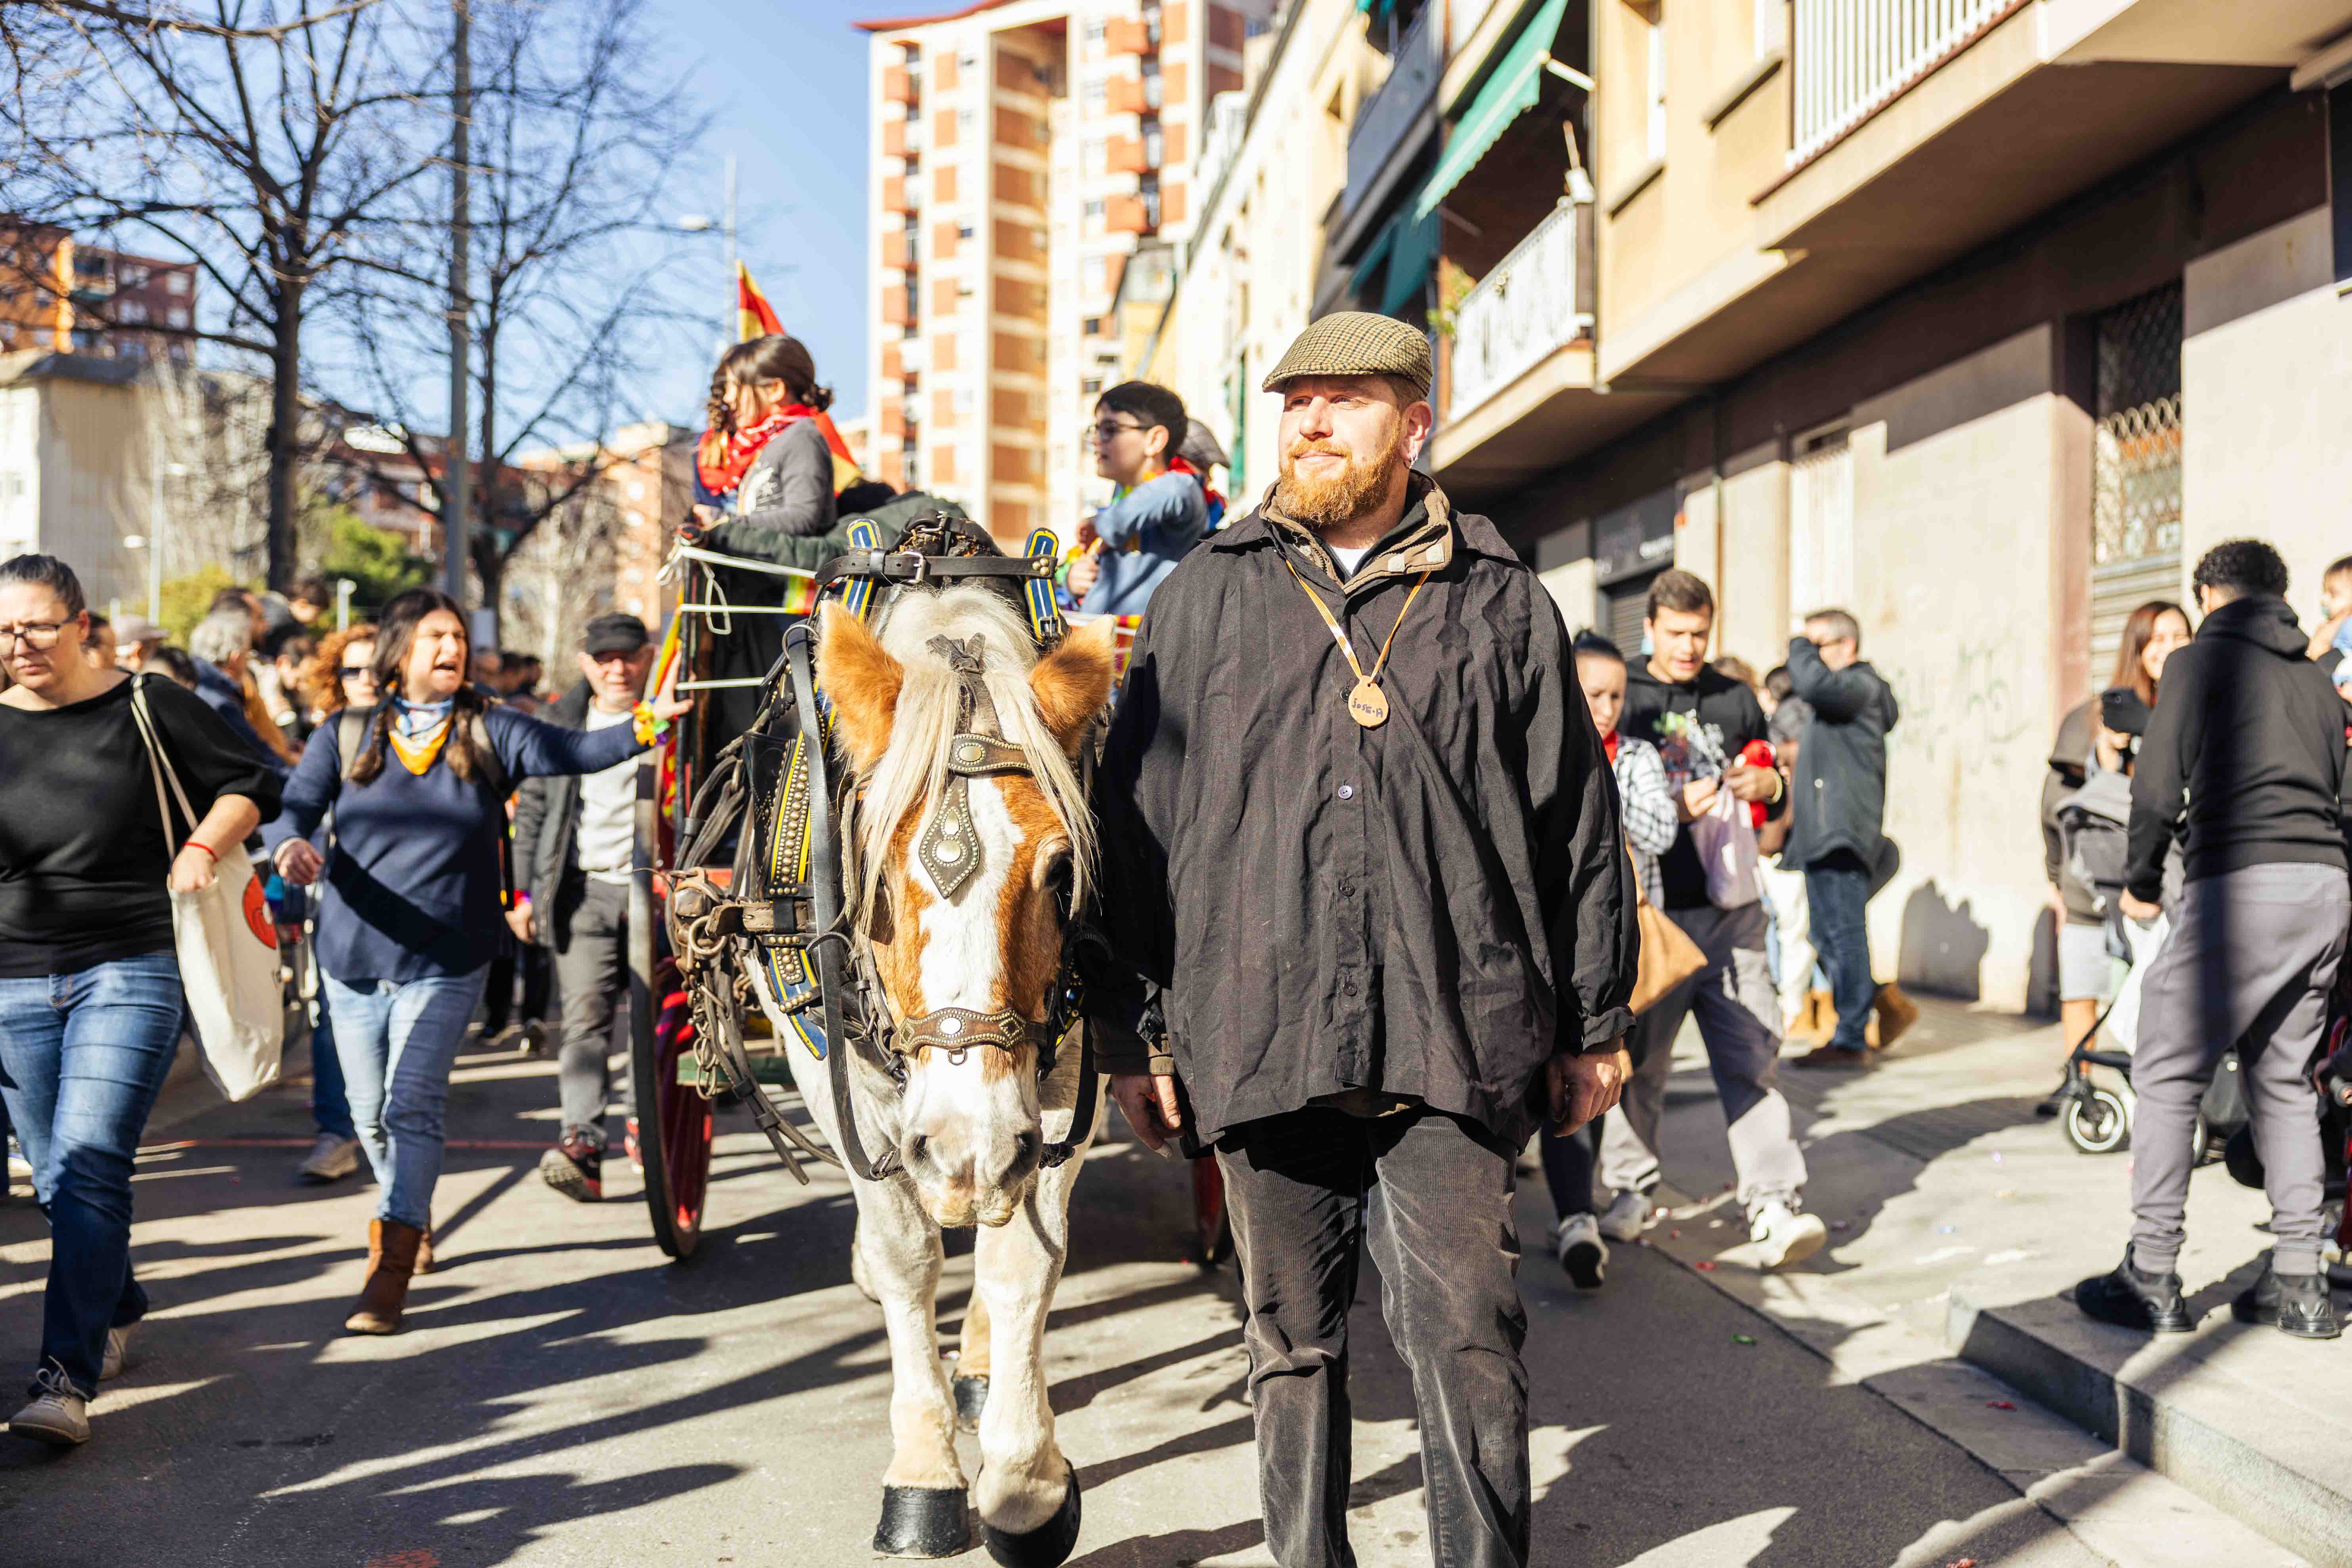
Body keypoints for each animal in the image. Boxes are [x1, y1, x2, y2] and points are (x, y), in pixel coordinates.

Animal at [748, 583, 1124, 1561]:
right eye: (875, 873)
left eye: (1060, 869)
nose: (963, 1151)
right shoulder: (828, 1076)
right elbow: (907, 1258)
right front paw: (923, 1474)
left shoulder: (1060, 1094)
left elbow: (1021, 1264)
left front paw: (1024, 1483)